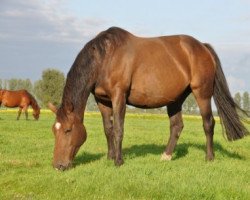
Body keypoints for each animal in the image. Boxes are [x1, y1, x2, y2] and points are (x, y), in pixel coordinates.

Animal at [48, 26, 248, 170]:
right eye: (53, 130)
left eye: (68, 130)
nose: (58, 166)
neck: (105, 57)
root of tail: (202, 47)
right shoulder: (102, 100)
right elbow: (108, 129)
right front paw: (110, 157)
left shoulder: (119, 95)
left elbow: (118, 128)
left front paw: (118, 161)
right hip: (175, 99)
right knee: (176, 126)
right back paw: (166, 156)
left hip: (202, 93)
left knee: (208, 124)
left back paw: (209, 157)